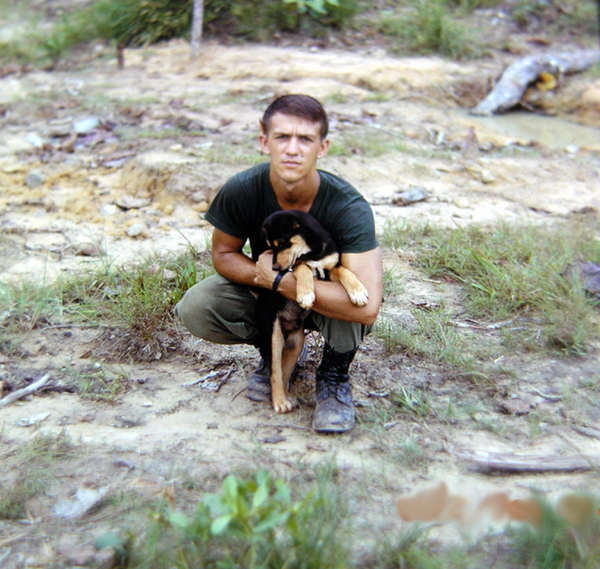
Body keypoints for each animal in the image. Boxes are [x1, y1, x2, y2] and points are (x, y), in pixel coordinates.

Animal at [255, 209, 368, 412]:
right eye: (270, 247)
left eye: (282, 243)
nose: (274, 268)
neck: (313, 251)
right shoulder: (298, 264)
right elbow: (303, 269)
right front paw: (306, 294)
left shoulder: (330, 268)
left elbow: (344, 271)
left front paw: (358, 291)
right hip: (273, 336)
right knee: (275, 372)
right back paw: (280, 402)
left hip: (296, 342)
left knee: (284, 372)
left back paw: (288, 397)